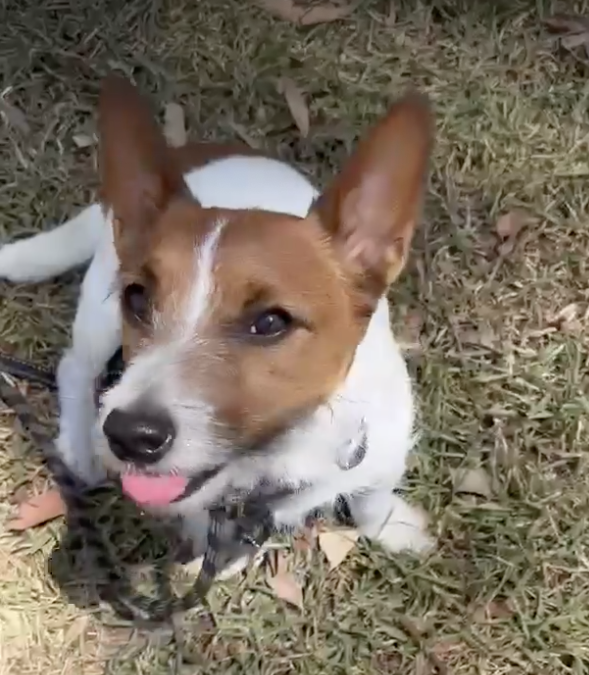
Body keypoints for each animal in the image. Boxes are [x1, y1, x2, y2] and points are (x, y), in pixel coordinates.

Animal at [0, 75, 435, 573]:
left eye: (270, 321)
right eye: (137, 297)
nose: (128, 435)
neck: (282, 453)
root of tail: (190, 155)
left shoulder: (381, 450)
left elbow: (372, 497)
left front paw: (393, 526)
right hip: (96, 316)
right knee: (75, 366)